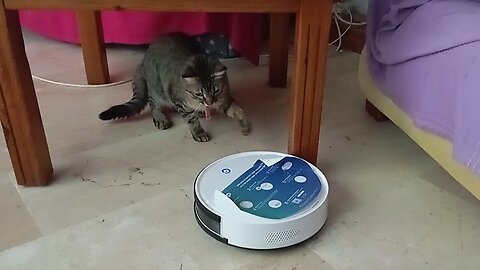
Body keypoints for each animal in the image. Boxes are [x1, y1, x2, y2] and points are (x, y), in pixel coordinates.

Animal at [100, 33, 253, 142]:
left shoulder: (224, 97)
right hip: (157, 90)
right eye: (199, 94)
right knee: (152, 103)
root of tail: (142, 62)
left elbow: (238, 109)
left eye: (216, 90)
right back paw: (160, 117)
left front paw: (245, 124)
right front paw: (198, 132)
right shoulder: (179, 100)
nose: (210, 103)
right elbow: (191, 120)